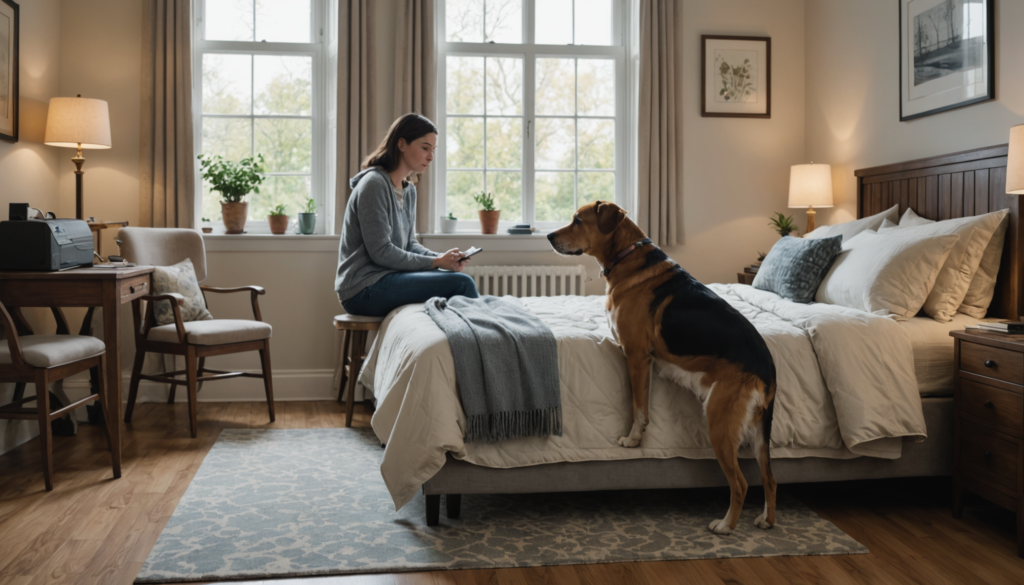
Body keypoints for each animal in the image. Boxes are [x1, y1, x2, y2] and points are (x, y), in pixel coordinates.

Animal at [552, 201, 774, 536]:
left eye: (578, 220)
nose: (549, 236)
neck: (627, 255)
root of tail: (767, 367)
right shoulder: (646, 363)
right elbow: (644, 408)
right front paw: (638, 437)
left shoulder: (635, 356)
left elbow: (636, 407)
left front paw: (632, 441)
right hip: (760, 434)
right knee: (770, 479)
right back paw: (766, 520)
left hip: (719, 421)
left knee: (741, 483)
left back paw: (725, 525)